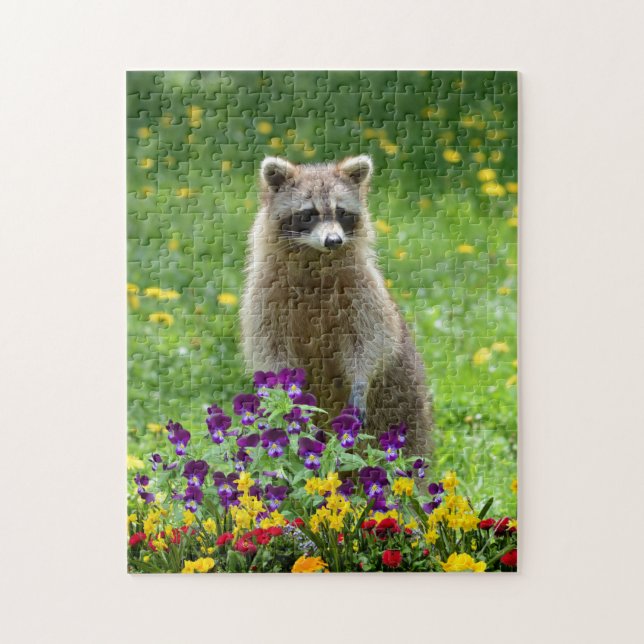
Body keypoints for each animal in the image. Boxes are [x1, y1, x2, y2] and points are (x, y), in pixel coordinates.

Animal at [240, 155, 432, 455]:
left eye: (341, 212)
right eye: (308, 214)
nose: (333, 241)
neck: (315, 259)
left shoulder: (362, 289)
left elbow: (372, 339)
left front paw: (361, 381)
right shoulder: (265, 295)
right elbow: (269, 348)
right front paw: (283, 392)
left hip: (405, 401)